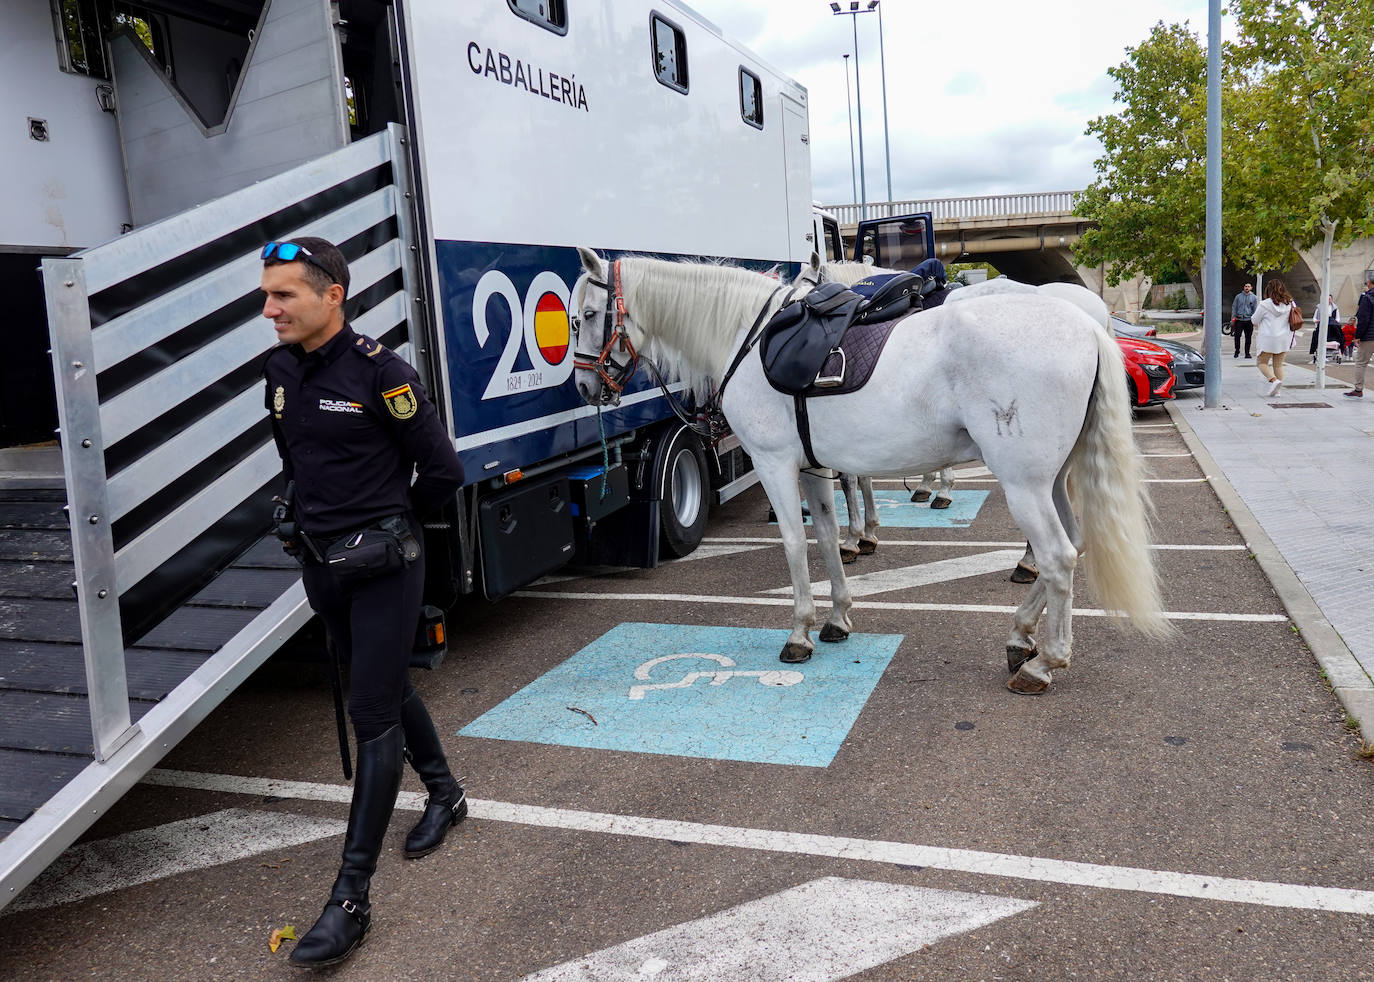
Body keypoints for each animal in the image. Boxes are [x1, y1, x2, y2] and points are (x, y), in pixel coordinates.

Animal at [571, 249, 1170, 694]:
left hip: (1024, 484)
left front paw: (800, 633)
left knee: (1058, 557)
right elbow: (827, 535)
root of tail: (1087, 328)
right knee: (1071, 545)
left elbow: (795, 543)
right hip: (1051, 480)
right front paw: (837, 618)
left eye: (585, 317)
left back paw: (1045, 663)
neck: (747, 336)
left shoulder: (775, 463)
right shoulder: (813, 469)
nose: (584, 386)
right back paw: (1021, 637)